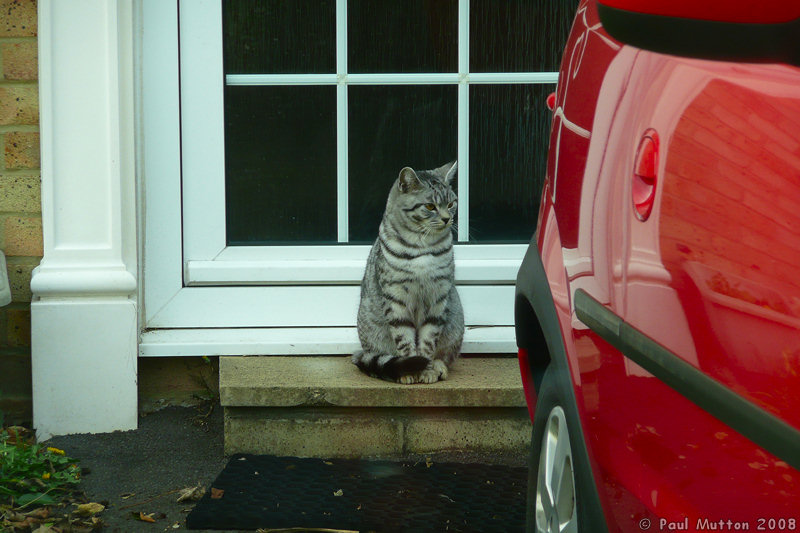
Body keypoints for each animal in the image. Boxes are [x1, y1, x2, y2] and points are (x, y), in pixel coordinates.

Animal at [350, 160, 462, 384]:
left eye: (451, 204)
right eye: (430, 206)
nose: (447, 219)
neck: (422, 246)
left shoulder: (438, 297)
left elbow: (428, 341)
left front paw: (427, 370)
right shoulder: (396, 299)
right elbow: (405, 340)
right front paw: (411, 370)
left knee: (445, 355)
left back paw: (439, 367)